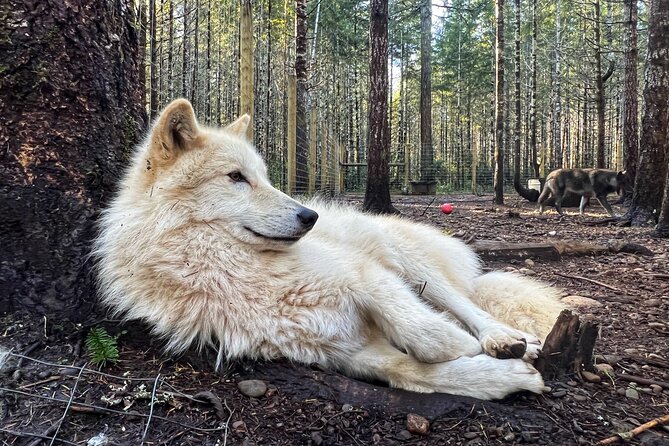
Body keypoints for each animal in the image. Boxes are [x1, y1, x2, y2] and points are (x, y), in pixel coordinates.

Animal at [94, 99, 566, 400]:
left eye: (263, 177)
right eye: (236, 177)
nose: (310, 217)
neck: (230, 269)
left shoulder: (365, 275)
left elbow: (426, 334)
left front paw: (474, 346)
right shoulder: (344, 352)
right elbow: (412, 370)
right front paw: (505, 377)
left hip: (410, 263)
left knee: (468, 305)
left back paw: (507, 338)